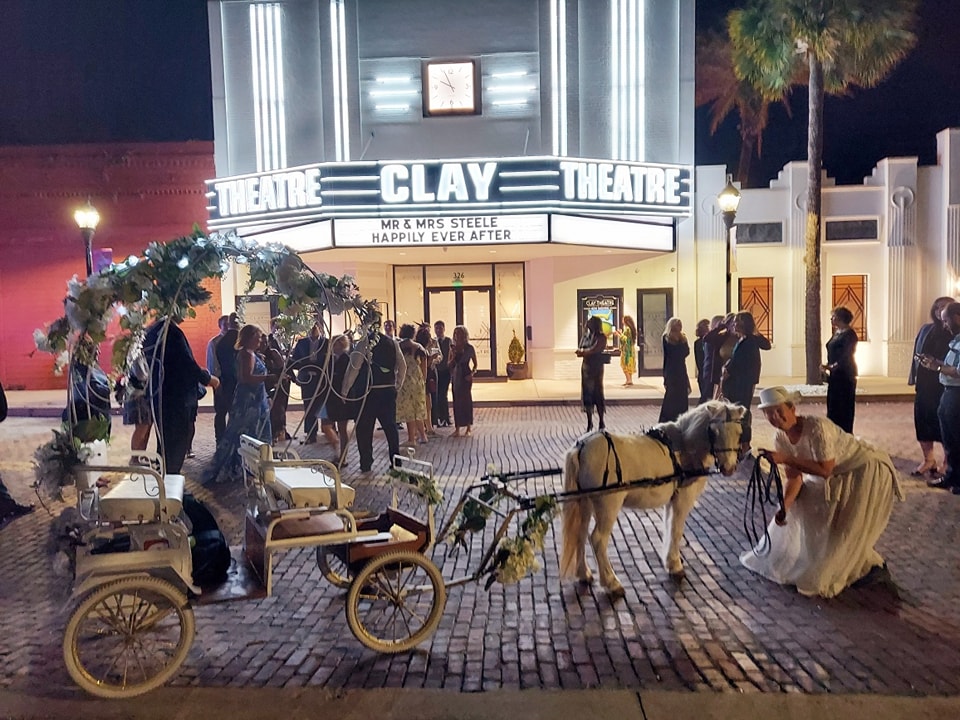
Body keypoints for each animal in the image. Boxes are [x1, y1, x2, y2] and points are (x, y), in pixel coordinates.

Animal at [560, 402, 748, 600]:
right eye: (713, 432)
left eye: (738, 432)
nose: (728, 468)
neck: (685, 447)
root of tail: (582, 447)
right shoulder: (683, 500)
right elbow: (676, 531)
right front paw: (676, 566)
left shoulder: (672, 501)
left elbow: (669, 527)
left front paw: (670, 560)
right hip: (608, 506)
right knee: (597, 539)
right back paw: (612, 583)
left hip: (584, 502)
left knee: (580, 534)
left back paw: (584, 574)